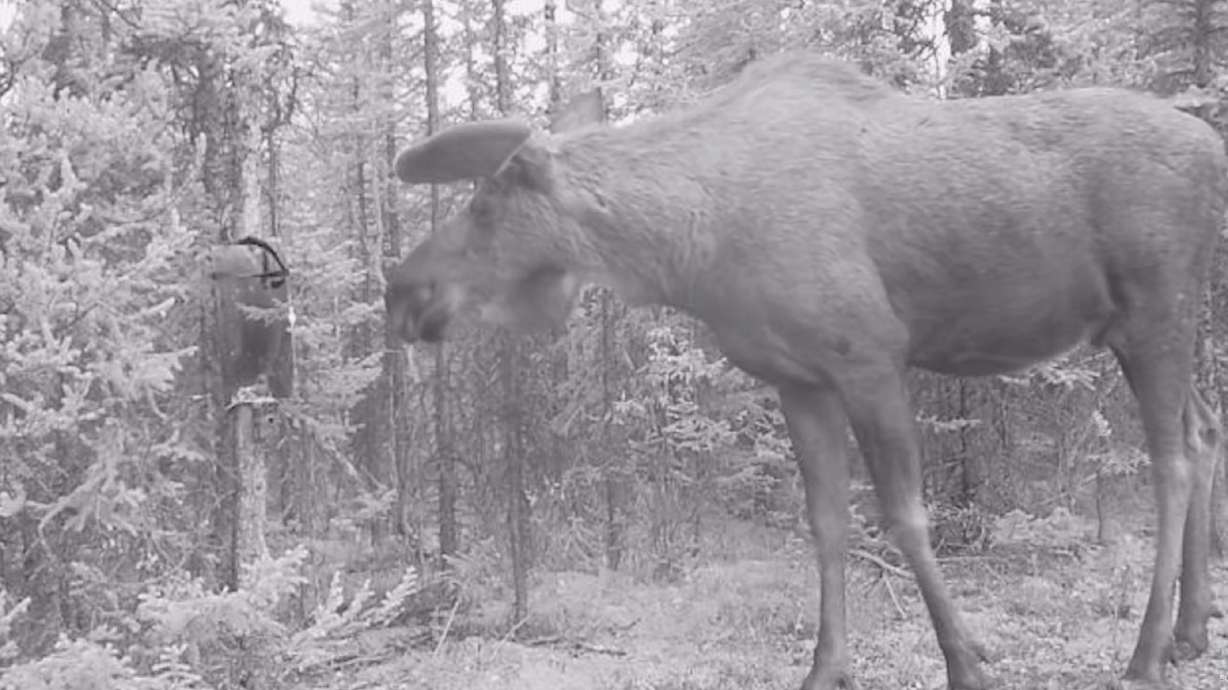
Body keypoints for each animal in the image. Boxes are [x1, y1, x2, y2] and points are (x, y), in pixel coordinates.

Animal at [384, 51, 1226, 690]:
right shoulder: (798, 379)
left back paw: (1147, 652)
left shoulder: (870, 357)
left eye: (485, 206)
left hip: (1156, 308)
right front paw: (827, 666)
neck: (690, 249)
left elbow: (904, 519)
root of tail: (1213, 149)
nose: (401, 290)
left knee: (1172, 461)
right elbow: (826, 522)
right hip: (1146, 327)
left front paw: (966, 661)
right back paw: (1190, 630)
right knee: (1206, 428)